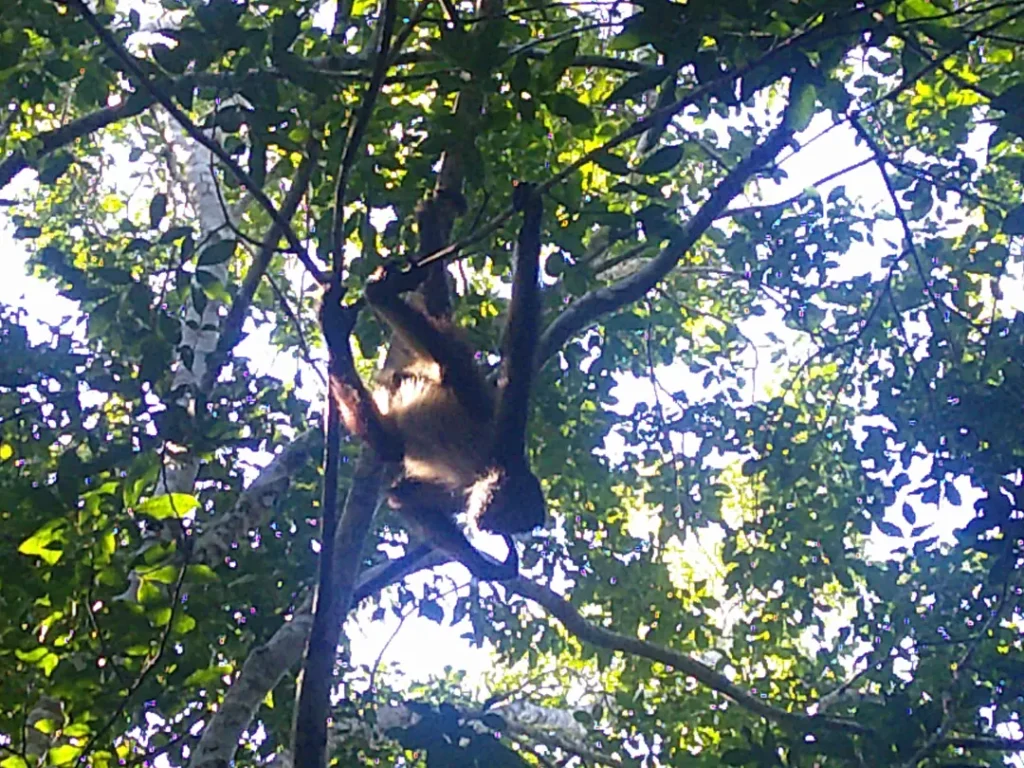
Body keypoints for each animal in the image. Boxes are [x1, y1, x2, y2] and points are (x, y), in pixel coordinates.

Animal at [320, 182, 546, 581]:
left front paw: (488, 568)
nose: (487, 526)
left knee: (389, 443)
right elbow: (520, 341)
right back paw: (368, 301)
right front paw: (532, 219)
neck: (486, 469)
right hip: (460, 377)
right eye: (507, 513)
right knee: (450, 359)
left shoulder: (461, 493)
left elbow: (402, 496)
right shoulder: (506, 437)